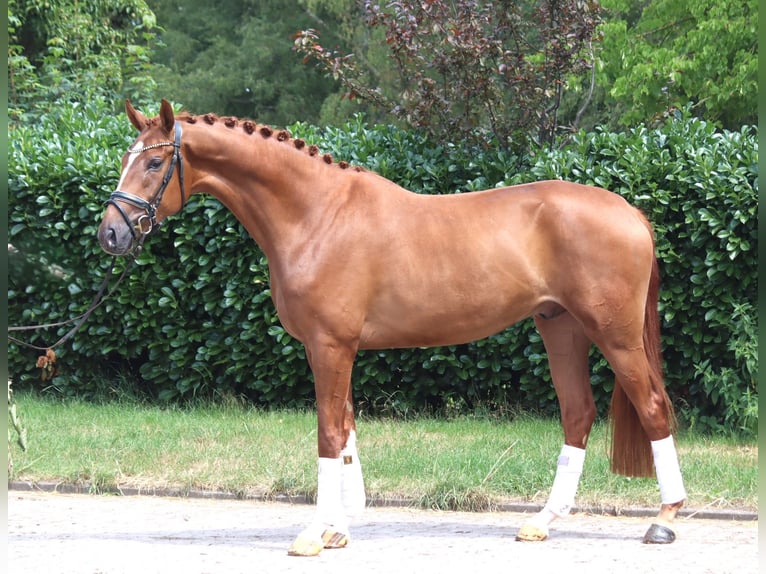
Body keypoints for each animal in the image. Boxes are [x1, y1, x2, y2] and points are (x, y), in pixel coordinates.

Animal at [98, 99, 686, 556]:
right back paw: (542, 523)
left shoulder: (330, 346)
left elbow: (328, 433)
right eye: (126, 158)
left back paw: (664, 519)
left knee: (653, 407)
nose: (111, 234)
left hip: (613, 334)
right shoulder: (334, 348)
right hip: (559, 326)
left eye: (154, 161)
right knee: (578, 413)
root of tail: (631, 212)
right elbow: (346, 430)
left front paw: (312, 534)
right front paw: (336, 531)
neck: (316, 214)